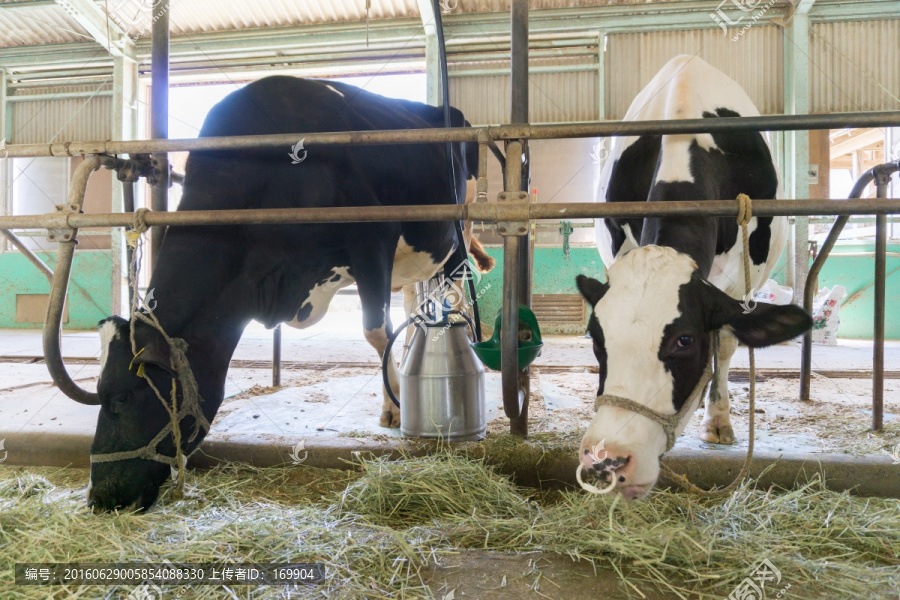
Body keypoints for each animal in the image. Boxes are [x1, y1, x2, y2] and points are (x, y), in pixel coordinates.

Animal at [89, 76, 486, 510]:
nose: (99, 496)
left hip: (459, 231)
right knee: (419, 299)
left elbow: (375, 331)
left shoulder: (372, 238)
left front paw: (396, 405)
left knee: (452, 294)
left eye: (122, 397)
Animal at [576, 56, 816, 496]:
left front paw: (718, 420)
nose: (605, 459)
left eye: (684, 340)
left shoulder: (740, 277)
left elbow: (725, 338)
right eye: (597, 338)